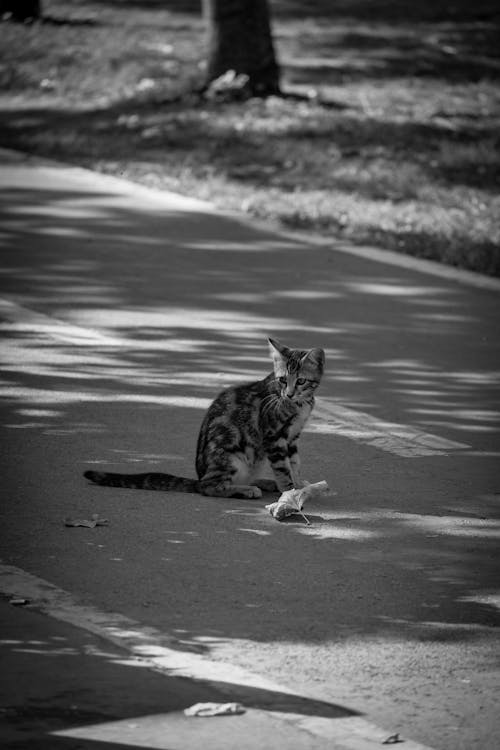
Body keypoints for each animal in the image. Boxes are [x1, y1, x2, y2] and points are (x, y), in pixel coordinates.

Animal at [84, 340, 326, 500]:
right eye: (283, 380)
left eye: (301, 381)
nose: (290, 394)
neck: (299, 404)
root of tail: (199, 476)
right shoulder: (274, 437)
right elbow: (283, 468)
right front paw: (290, 492)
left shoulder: (292, 437)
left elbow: (294, 464)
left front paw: (297, 486)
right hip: (231, 454)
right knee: (209, 487)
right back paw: (246, 489)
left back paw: (263, 482)